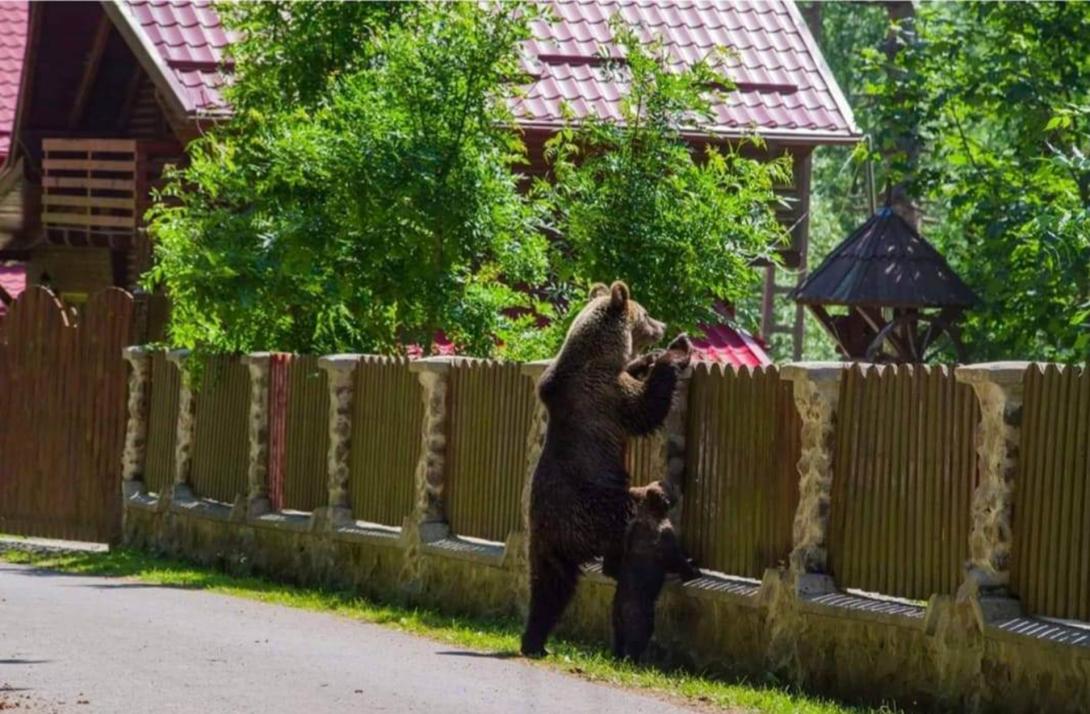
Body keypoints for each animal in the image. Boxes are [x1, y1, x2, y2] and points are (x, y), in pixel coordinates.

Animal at [518, 281, 688, 658]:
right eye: (645, 313)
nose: (662, 325)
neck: (597, 356)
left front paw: (646, 359)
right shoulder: (606, 396)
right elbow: (645, 407)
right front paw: (675, 351)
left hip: (548, 543)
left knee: (550, 586)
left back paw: (534, 640)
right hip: (602, 507)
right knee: (636, 517)